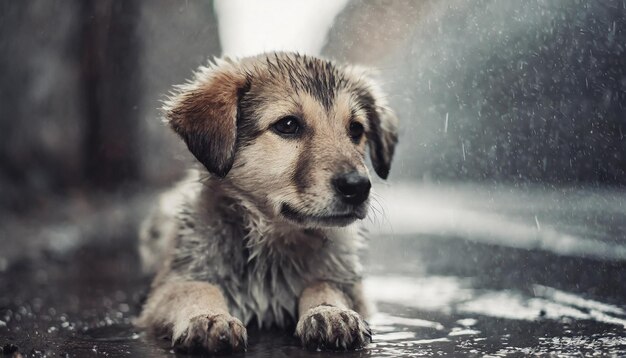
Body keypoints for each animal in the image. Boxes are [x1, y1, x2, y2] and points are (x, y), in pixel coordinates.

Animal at [138, 51, 398, 354]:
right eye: (288, 125)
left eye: (356, 129)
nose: (358, 187)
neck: (272, 245)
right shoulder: (170, 285)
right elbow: (197, 288)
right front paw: (209, 316)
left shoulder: (354, 289)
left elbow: (323, 284)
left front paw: (329, 311)